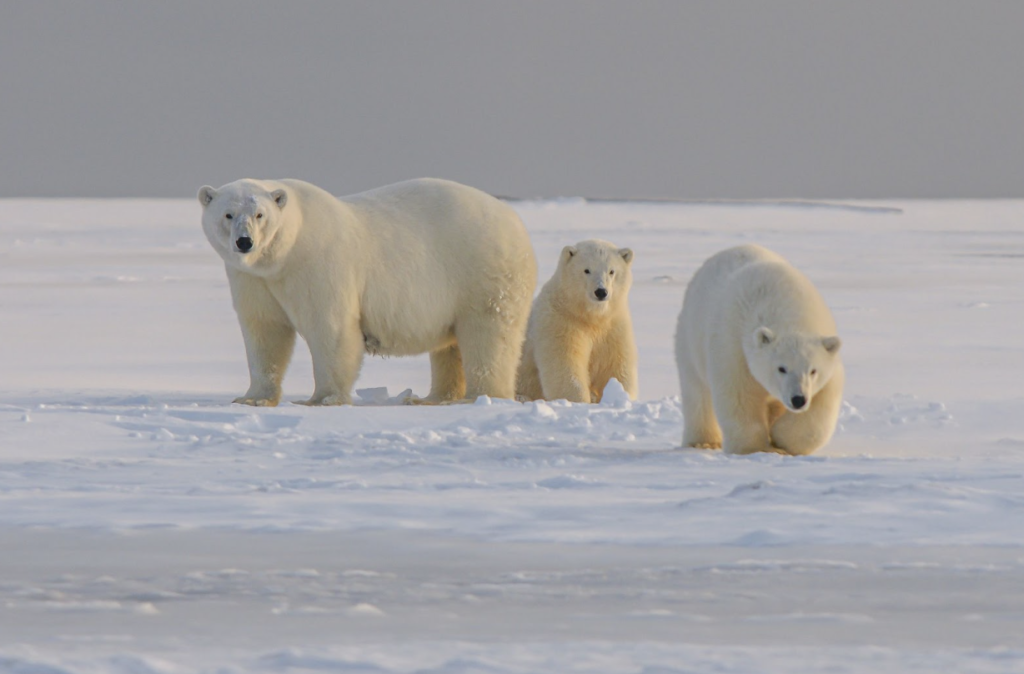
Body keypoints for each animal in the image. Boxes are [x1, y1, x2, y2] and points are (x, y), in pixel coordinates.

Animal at [198, 177, 537, 406]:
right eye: (228, 214)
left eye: (260, 215)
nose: (245, 242)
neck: (284, 254)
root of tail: (515, 220)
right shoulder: (253, 279)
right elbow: (264, 332)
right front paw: (252, 398)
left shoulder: (319, 264)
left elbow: (330, 328)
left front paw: (322, 399)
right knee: (449, 346)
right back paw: (433, 397)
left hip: (482, 272)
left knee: (488, 335)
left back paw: (481, 396)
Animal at [516, 239, 638, 403]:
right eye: (586, 270)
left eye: (611, 271)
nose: (601, 292)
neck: (589, 316)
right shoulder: (560, 321)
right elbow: (565, 364)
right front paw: (579, 400)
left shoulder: (613, 325)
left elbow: (615, 365)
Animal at [674, 244, 843, 455]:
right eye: (781, 368)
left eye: (813, 370)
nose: (798, 400)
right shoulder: (733, 346)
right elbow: (739, 395)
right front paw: (755, 448)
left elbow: (822, 403)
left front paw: (781, 439)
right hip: (690, 338)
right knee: (697, 392)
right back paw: (703, 442)